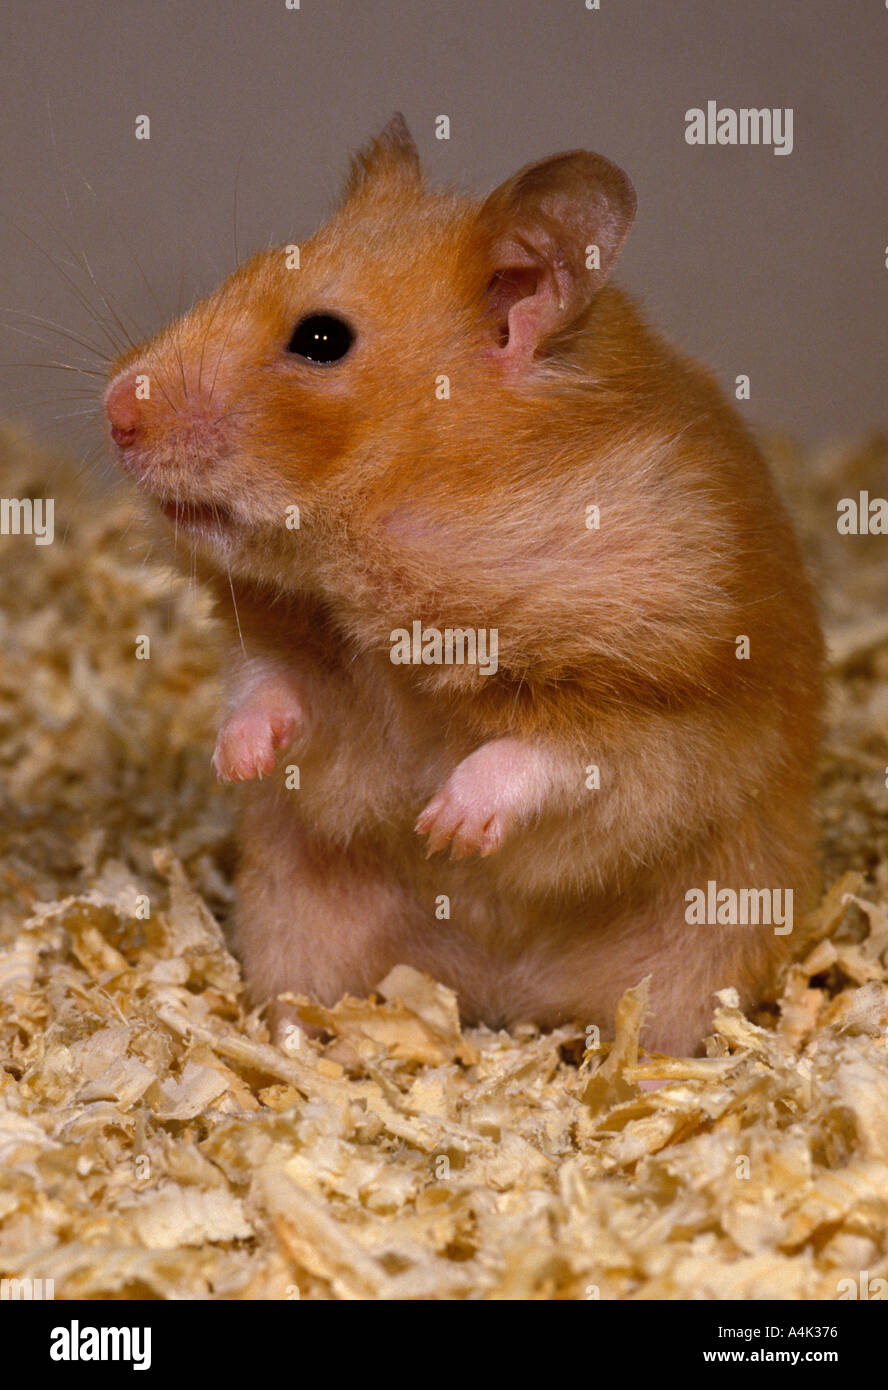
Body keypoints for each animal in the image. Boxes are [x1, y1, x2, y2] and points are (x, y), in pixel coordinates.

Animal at [104, 114, 824, 1055]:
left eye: (321, 339)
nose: (114, 413)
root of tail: (500, 998)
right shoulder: (295, 641)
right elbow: (267, 689)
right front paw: (237, 761)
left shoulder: (663, 696)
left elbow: (549, 756)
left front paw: (446, 828)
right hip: (299, 924)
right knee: (302, 996)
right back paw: (295, 1045)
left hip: (699, 957)